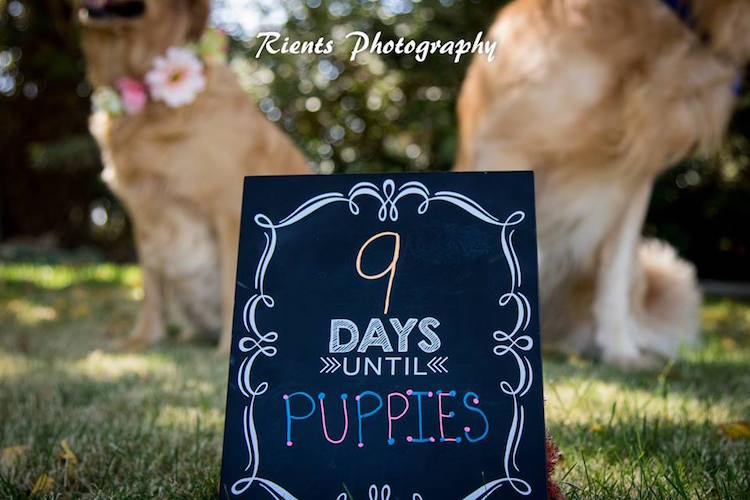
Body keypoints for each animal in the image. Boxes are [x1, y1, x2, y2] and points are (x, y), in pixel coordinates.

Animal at [78, 0, 309, 353]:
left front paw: (227, 350)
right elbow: (151, 287)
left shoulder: (229, 211)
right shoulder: (143, 213)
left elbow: (230, 288)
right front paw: (143, 339)